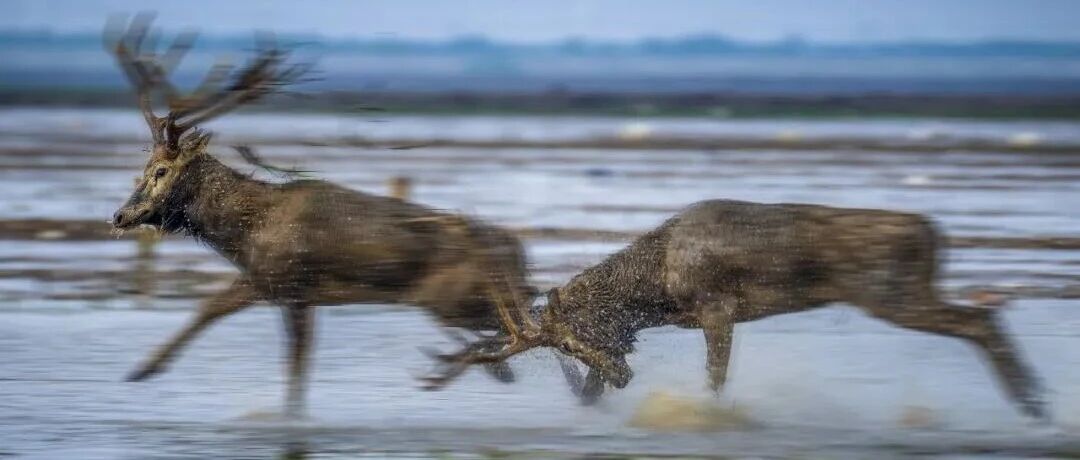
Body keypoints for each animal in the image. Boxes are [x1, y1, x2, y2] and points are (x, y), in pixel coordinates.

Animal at [105, 15, 537, 418]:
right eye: (144, 168)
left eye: (161, 171)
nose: (121, 215)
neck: (242, 232)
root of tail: (516, 252)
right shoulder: (273, 283)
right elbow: (219, 313)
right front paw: (142, 370)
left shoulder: (290, 282)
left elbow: (291, 361)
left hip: (450, 298)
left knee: (526, 325)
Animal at [421, 199, 1048, 420]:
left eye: (574, 338)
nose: (622, 374)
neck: (655, 290)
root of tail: (934, 234)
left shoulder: (715, 308)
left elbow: (716, 376)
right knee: (979, 316)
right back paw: (1031, 399)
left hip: (890, 293)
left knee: (977, 318)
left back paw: (1032, 400)